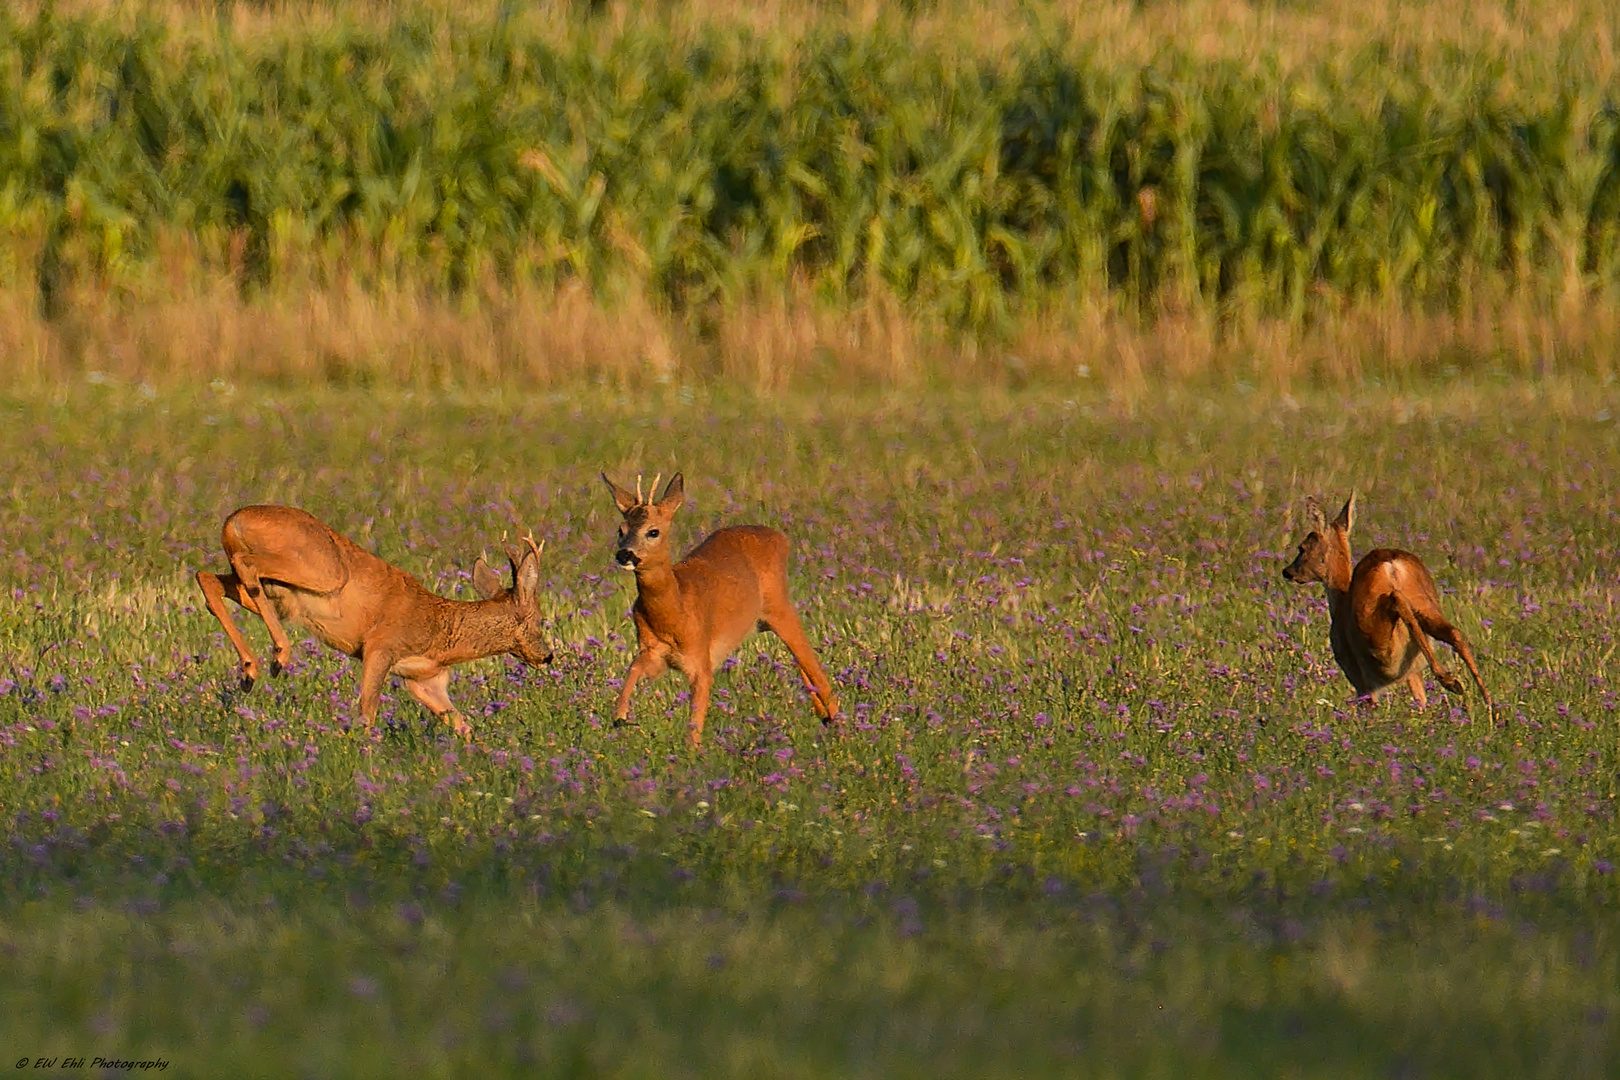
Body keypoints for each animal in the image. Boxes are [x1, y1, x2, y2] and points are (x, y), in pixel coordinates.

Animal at [191, 505, 550, 738]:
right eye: (540, 619)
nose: (547, 656)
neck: (439, 628)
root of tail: (235, 519)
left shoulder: (426, 680)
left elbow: (462, 724)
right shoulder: (380, 646)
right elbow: (367, 711)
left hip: (275, 592)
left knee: (209, 579)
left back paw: (249, 671)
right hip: (322, 571)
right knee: (244, 564)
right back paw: (279, 654)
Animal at [602, 476, 842, 751]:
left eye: (653, 531)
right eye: (620, 530)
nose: (624, 554)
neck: (675, 608)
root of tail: (780, 536)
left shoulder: (701, 658)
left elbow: (695, 723)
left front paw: (691, 755)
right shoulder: (654, 650)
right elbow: (634, 668)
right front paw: (619, 715)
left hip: (780, 606)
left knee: (815, 669)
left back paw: (840, 728)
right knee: (804, 667)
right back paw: (825, 718)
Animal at [1276, 495, 1490, 718]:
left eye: (1302, 548)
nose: (1287, 571)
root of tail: (1392, 564)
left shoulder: (1359, 679)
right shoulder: (1412, 673)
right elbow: (1421, 699)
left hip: (1376, 635)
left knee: (1397, 601)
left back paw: (1452, 683)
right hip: (1426, 604)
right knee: (1454, 633)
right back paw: (1489, 707)